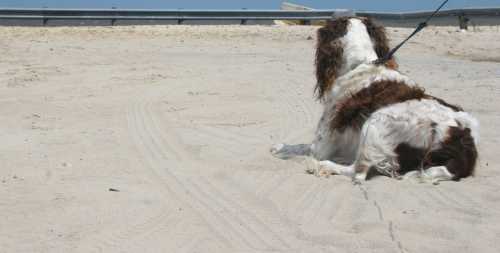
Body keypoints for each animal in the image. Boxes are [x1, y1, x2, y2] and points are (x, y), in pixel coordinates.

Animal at [272, 17, 478, 184]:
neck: (361, 63)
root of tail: (462, 145)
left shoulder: (322, 142)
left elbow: (302, 147)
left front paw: (280, 147)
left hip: (376, 121)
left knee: (357, 172)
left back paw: (324, 166)